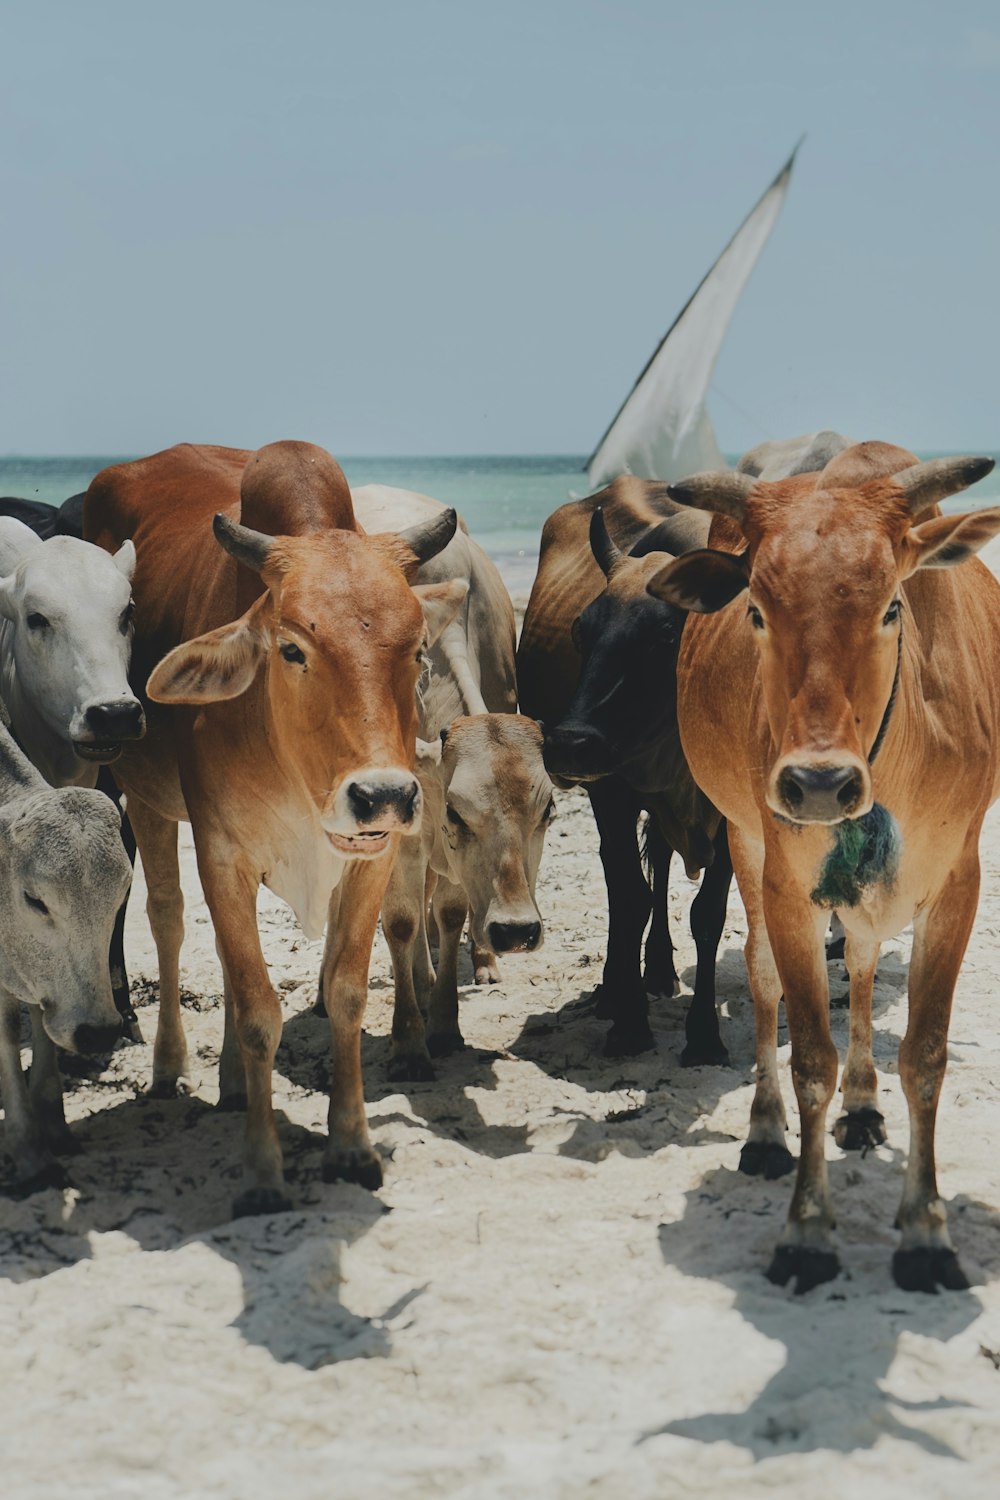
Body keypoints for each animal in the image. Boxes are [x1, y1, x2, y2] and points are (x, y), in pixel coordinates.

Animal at [0, 720, 132, 1188]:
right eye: (35, 900)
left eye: (123, 893)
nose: (97, 1032)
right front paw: (28, 1151)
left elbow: (42, 1015)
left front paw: (52, 1124)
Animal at [85, 438, 461, 1212]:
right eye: (292, 650)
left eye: (417, 649)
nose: (383, 794)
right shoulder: (222, 855)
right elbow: (260, 1010)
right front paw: (262, 1170)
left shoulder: (370, 859)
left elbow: (345, 994)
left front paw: (352, 1145)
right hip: (146, 801)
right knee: (168, 921)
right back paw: (173, 1066)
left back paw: (231, 1083)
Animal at [650, 441, 1000, 1290]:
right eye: (756, 610)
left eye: (891, 607)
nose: (816, 784)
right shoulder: (785, 882)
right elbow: (810, 1052)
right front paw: (807, 1229)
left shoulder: (958, 884)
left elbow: (926, 1055)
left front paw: (926, 1231)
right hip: (745, 841)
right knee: (761, 971)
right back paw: (766, 1133)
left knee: (867, 961)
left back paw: (866, 1105)